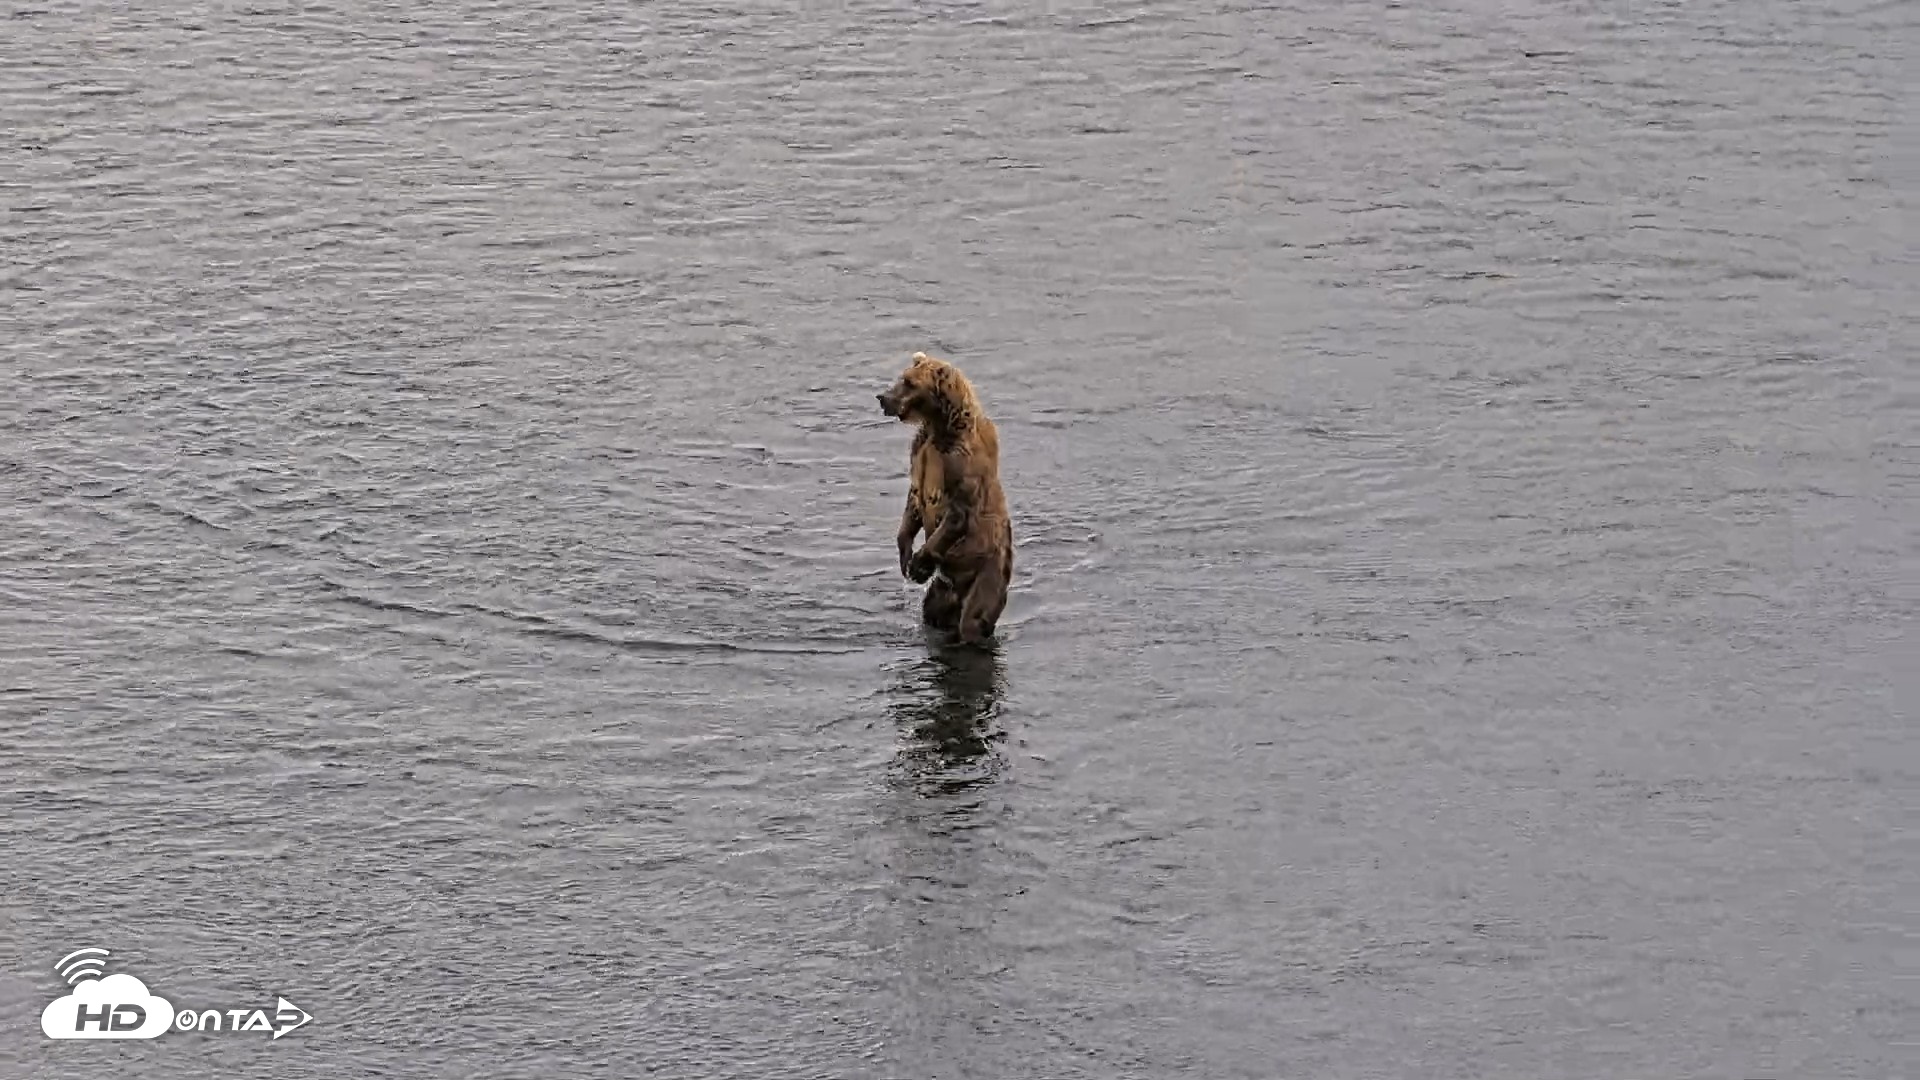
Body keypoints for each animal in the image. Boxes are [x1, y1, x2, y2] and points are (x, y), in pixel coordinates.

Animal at [877, 352, 1014, 645]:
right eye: (902, 377)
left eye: (909, 382)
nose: (882, 397)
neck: (938, 426)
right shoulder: (920, 451)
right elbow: (914, 501)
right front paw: (905, 554)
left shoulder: (958, 462)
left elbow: (957, 512)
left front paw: (919, 563)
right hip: (941, 591)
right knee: (934, 612)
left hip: (989, 572)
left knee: (974, 618)